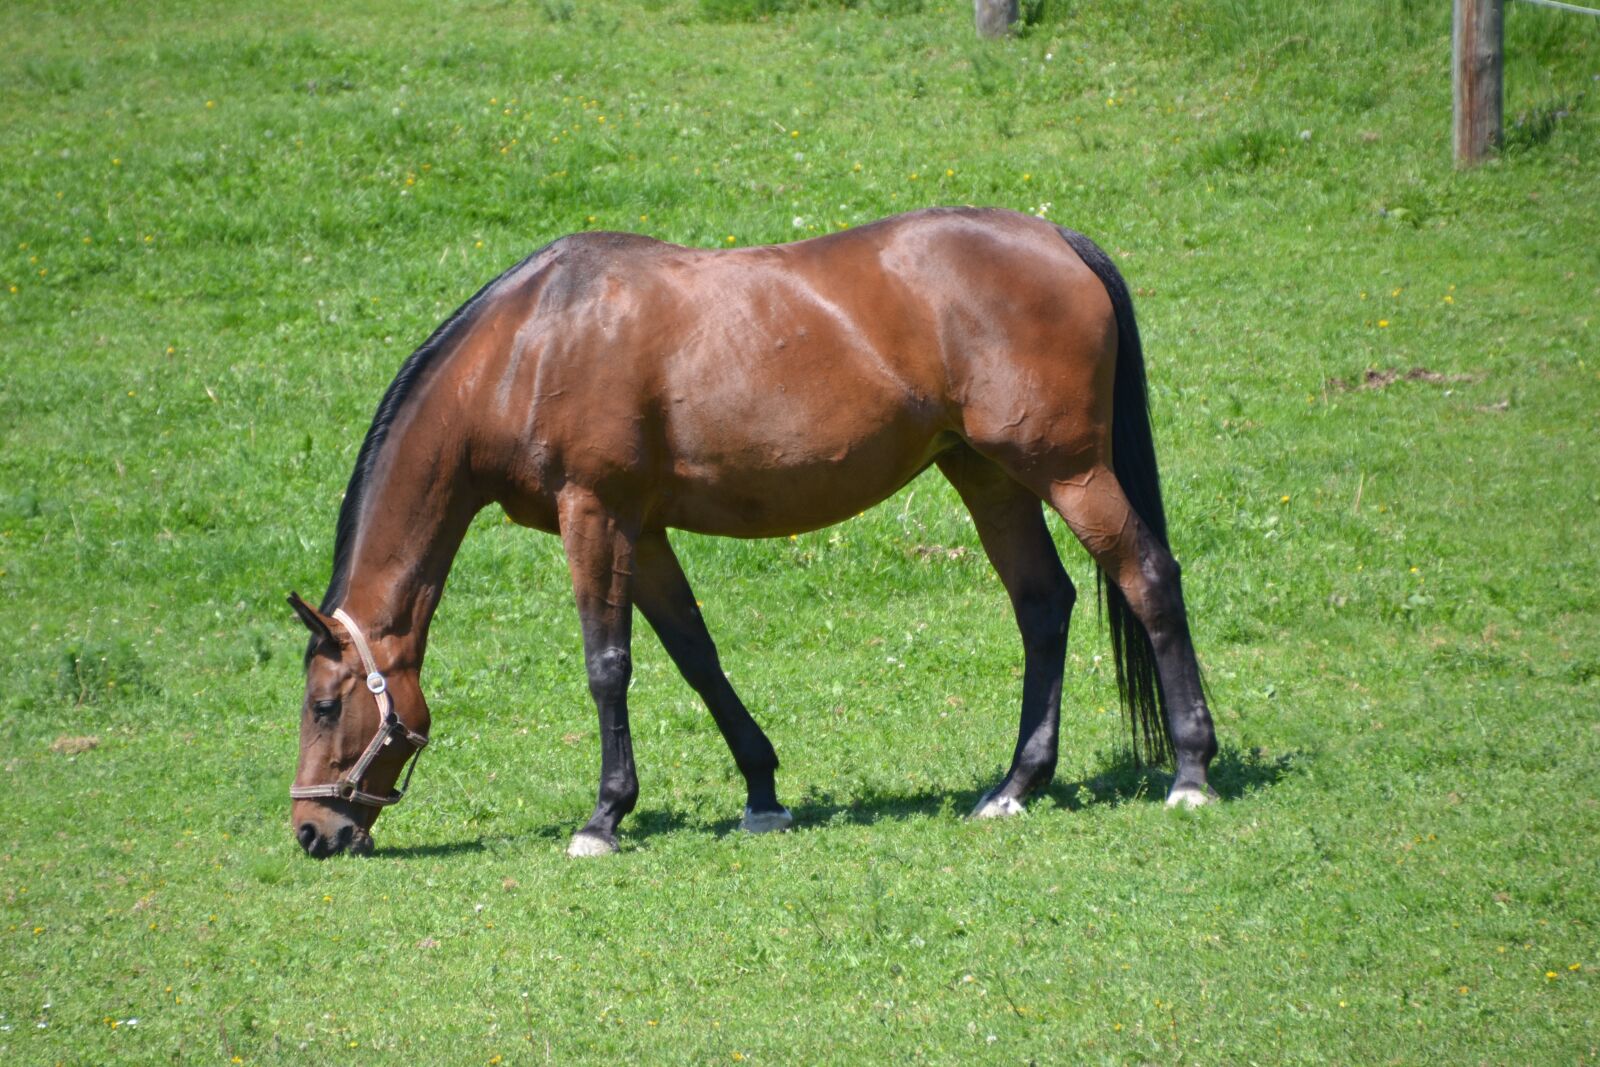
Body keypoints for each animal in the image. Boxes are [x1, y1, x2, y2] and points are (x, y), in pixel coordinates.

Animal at [287, 207, 1219, 859]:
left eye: (326, 704)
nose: (310, 831)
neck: (530, 343)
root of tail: (1056, 237)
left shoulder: (595, 514)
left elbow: (607, 666)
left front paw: (603, 816)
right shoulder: (643, 531)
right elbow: (696, 656)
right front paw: (762, 792)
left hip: (1069, 471)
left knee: (1148, 576)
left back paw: (1191, 773)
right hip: (989, 474)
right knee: (1043, 605)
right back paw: (1015, 785)